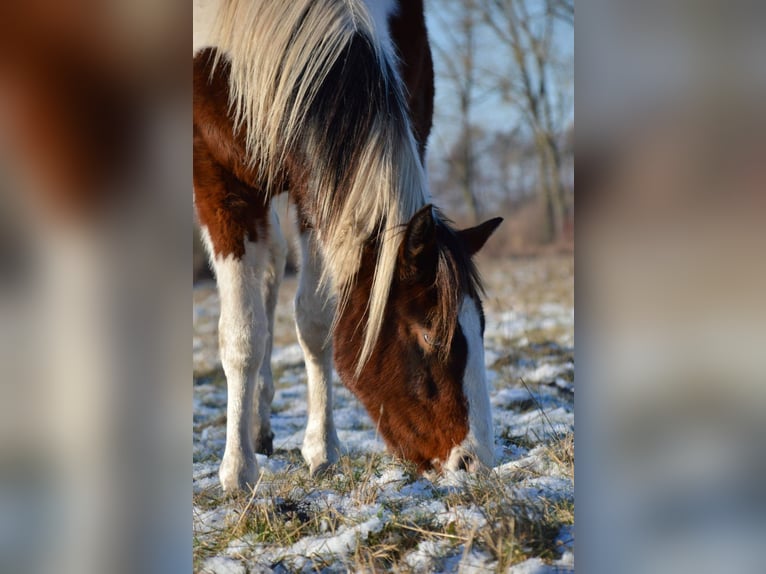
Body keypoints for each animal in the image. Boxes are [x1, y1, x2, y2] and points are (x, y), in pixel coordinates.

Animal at [193, 0, 503, 492]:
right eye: (430, 334)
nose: (476, 463)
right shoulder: (215, 176)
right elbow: (243, 334)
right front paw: (237, 470)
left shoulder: (318, 185)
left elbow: (316, 321)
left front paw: (322, 450)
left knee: (273, 264)